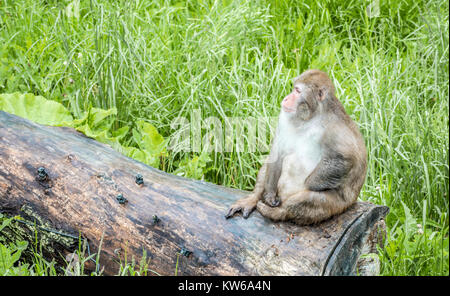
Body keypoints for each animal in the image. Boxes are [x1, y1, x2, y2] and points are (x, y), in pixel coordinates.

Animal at [227, 69, 368, 225]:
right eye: (293, 89)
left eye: (298, 91)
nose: (286, 98)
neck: (310, 117)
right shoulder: (284, 117)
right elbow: (277, 151)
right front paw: (269, 194)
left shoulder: (335, 128)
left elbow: (346, 158)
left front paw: (309, 184)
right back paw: (254, 198)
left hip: (340, 204)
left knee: (314, 199)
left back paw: (278, 212)